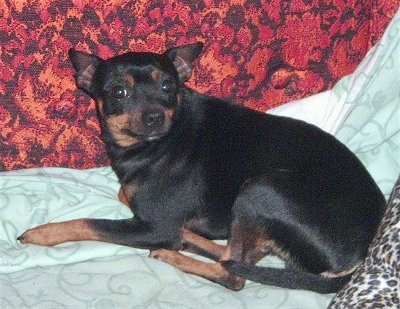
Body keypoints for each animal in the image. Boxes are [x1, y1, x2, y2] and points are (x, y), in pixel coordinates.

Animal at [18, 42, 384, 292]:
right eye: (119, 92)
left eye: (168, 86)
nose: (155, 117)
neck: (150, 145)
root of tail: (358, 258)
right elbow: (125, 193)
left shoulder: (155, 226)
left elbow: (89, 223)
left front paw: (42, 233)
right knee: (232, 256)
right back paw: (188, 238)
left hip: (260, 189)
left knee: (232, 273)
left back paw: (172, 253)